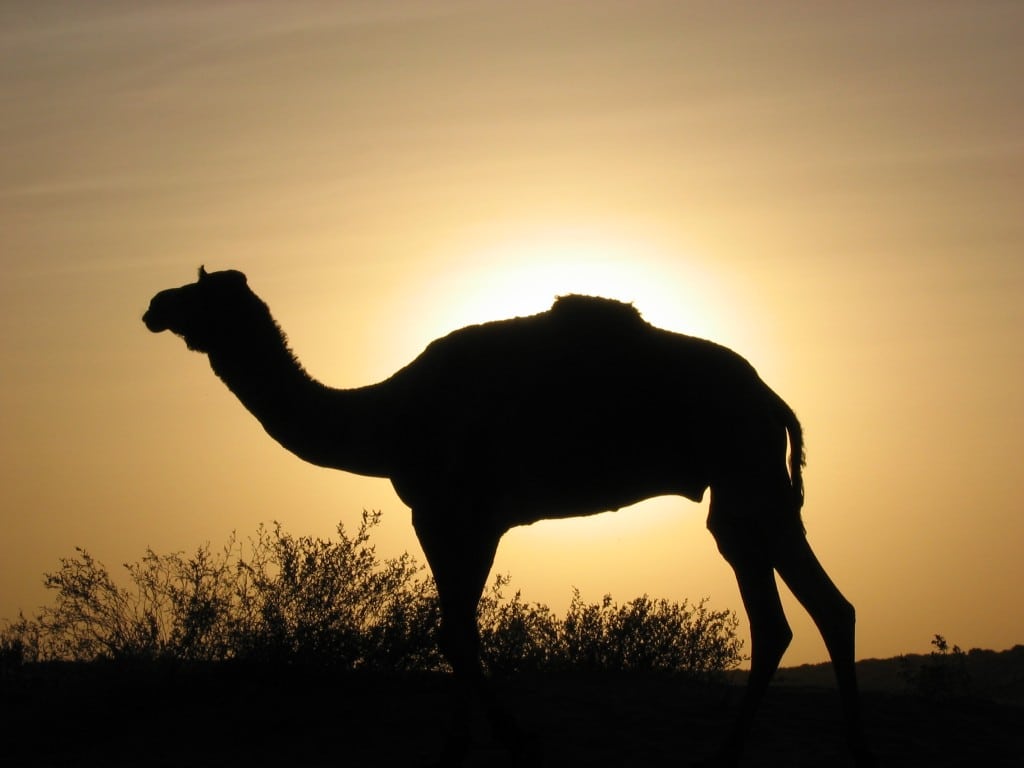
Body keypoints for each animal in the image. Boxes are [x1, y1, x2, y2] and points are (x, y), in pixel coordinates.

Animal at [143, 267, 875, 767]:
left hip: (748, 470)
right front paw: (458, 745)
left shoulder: (462, 514)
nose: (154, 305)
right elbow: (456, 630)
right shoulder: (445, 518)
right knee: (790, 614)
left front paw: (514, 740)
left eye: (201, 293)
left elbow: (455, 634)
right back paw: (754, 752)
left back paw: (818, 750)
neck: (387, 417)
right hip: (740, 491)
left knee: (813, 608)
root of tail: (773, 398)